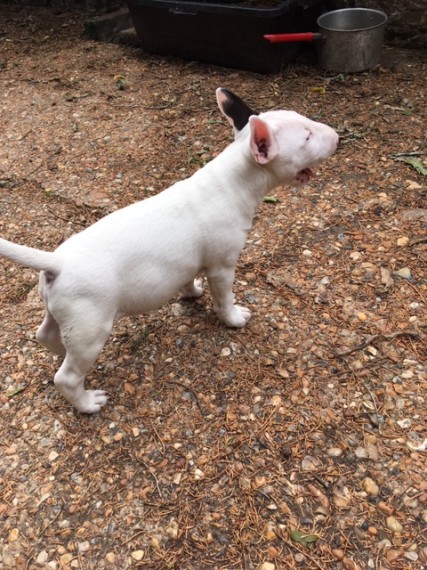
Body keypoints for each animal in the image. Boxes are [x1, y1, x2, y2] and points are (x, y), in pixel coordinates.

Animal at [0, 86, 342, 410]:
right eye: (307, 137)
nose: (337, 136)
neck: (234, 181)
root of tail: (57, 263)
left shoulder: (190, 262)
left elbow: (187, 278)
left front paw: (192, 293)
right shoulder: (222, 267)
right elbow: (224, 299)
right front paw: (233, 319)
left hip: (64, 315)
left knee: (45, 335)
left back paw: (60, 350)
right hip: (91, 327)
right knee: (67, 377)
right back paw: (87, 403)